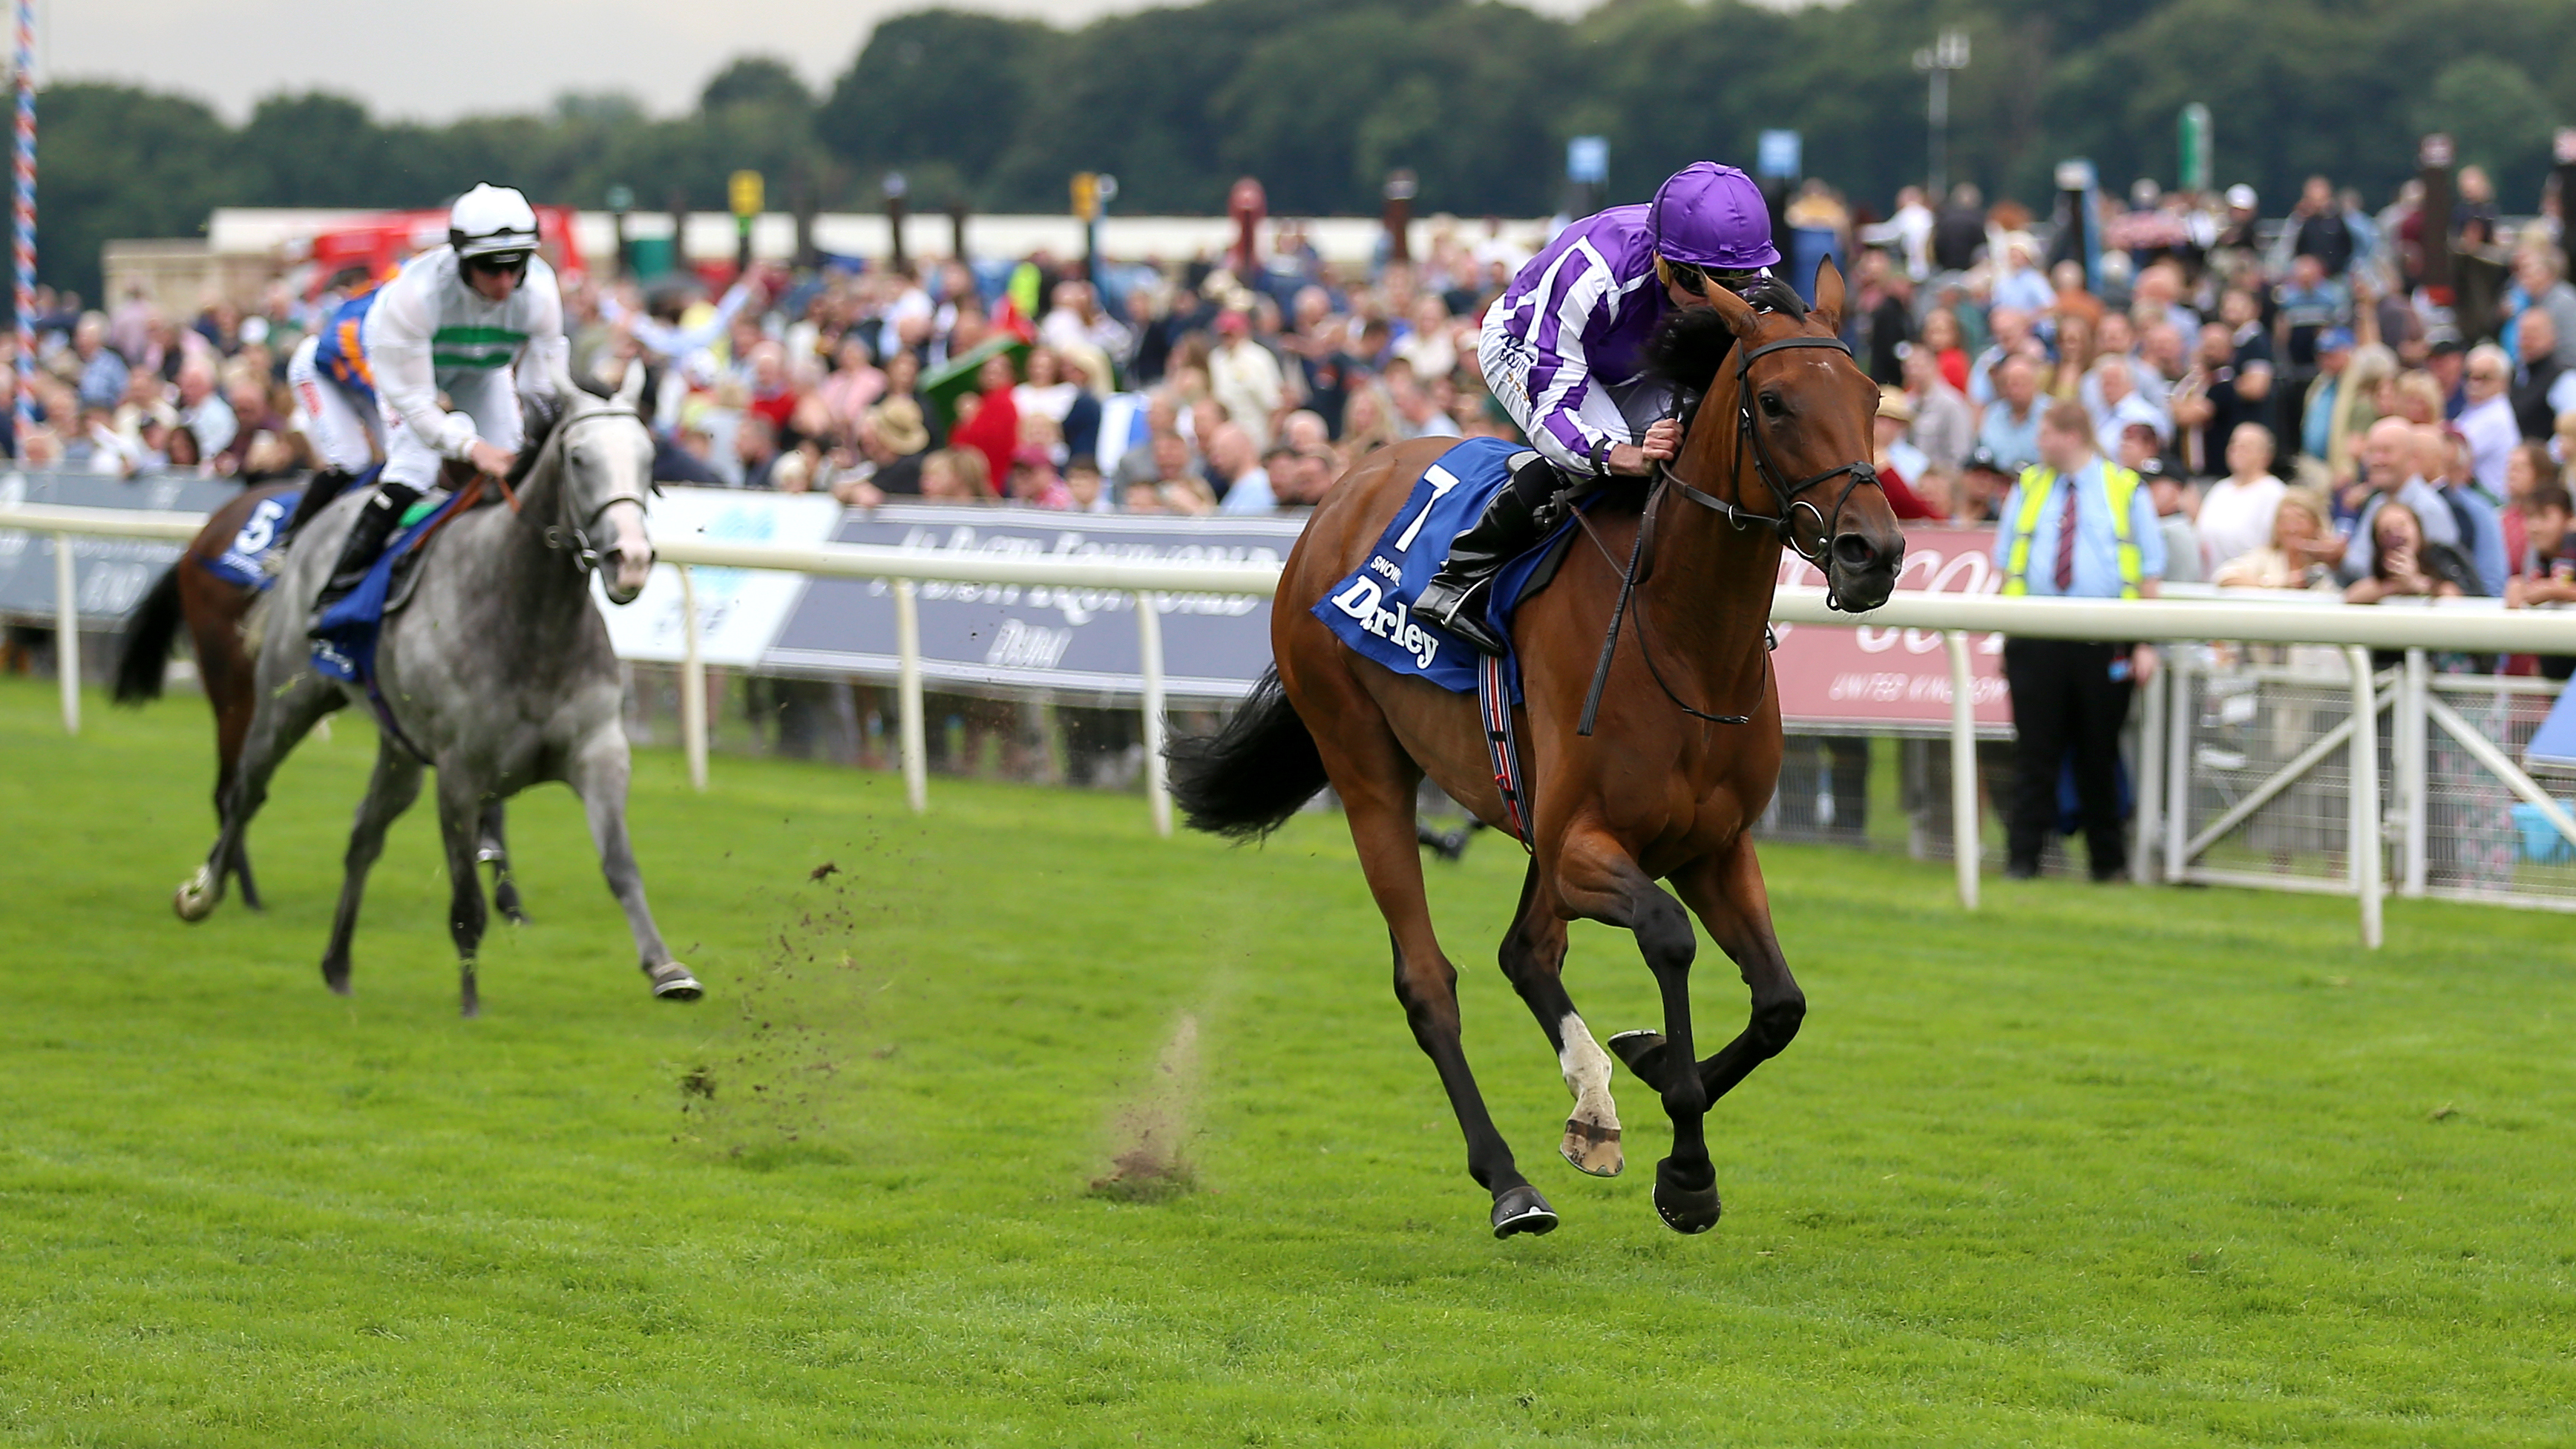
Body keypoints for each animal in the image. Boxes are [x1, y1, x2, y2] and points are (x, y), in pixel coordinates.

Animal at [175, 382, 701, 1015]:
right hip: (284, 700)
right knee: (246, 791)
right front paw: (471, 1004)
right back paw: (205, 892)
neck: (531, 619)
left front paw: (666, 969)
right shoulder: (459, 773)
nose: (631, 560)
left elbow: (619, 865)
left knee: (363, 836)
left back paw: (337, 964)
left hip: (399, 748)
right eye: (578, 459)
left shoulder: (599, 752)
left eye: (648, 458)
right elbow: (466, 899)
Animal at [1179, 261, 1906, 1227]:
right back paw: (1509, 1181)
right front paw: (1687, 1165)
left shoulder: (1711, 844)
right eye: (1777, 402)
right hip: (1365, 763)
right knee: (1429, 981)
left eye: (1871, 394)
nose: (1875, 551)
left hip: (1525, 806)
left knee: (1525, 950)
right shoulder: (1583, 845)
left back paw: (1592, 1106)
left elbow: (1782, 1002)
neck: (1683, 637)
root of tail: (1341, 487)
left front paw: (1649, 1065)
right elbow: (1668, 935)